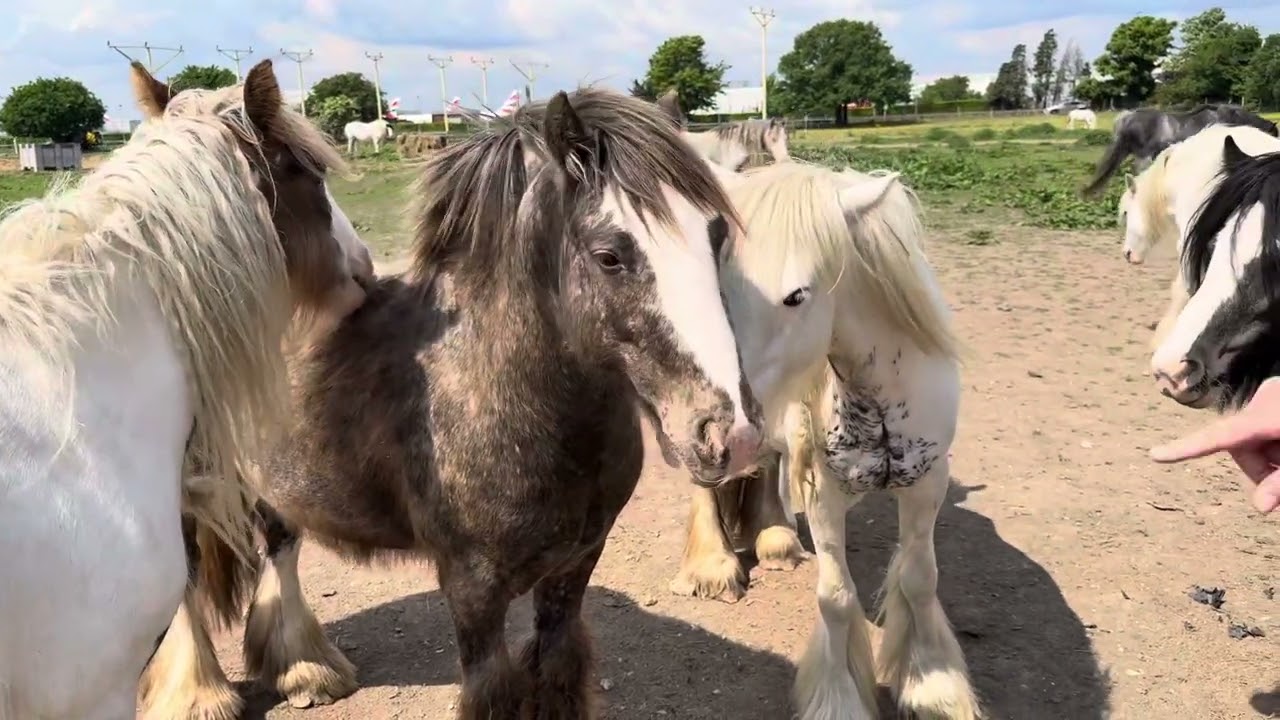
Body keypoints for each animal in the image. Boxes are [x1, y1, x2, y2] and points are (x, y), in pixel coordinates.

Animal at [137, 86, 764, 720]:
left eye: (716, 236)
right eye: (609, 255)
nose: (731, 436)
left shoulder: (576, 565)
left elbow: (558, 669)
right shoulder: (472, 587)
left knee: (280, 544)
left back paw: (306, 668)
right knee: (185, 584)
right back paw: (200, 694)